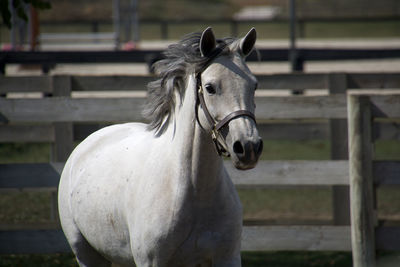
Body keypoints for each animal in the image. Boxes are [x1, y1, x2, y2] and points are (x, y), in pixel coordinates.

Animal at [57, 27, 262, 267]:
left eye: (254, 85)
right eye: (210, 88)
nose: (248, 147)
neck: (192, 192)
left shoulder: (227, 258)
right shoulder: (151, 261)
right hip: (86, 254)